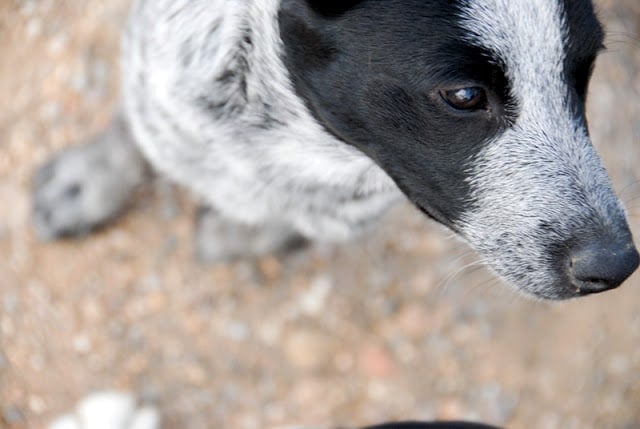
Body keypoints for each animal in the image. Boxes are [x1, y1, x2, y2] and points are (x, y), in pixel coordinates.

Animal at [31, 0, 640, 300]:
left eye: (584, 72)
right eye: (464, 95)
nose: (615, 267)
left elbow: (300, 220)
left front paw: (241, 231)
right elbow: (138, 126)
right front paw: (92, 178)